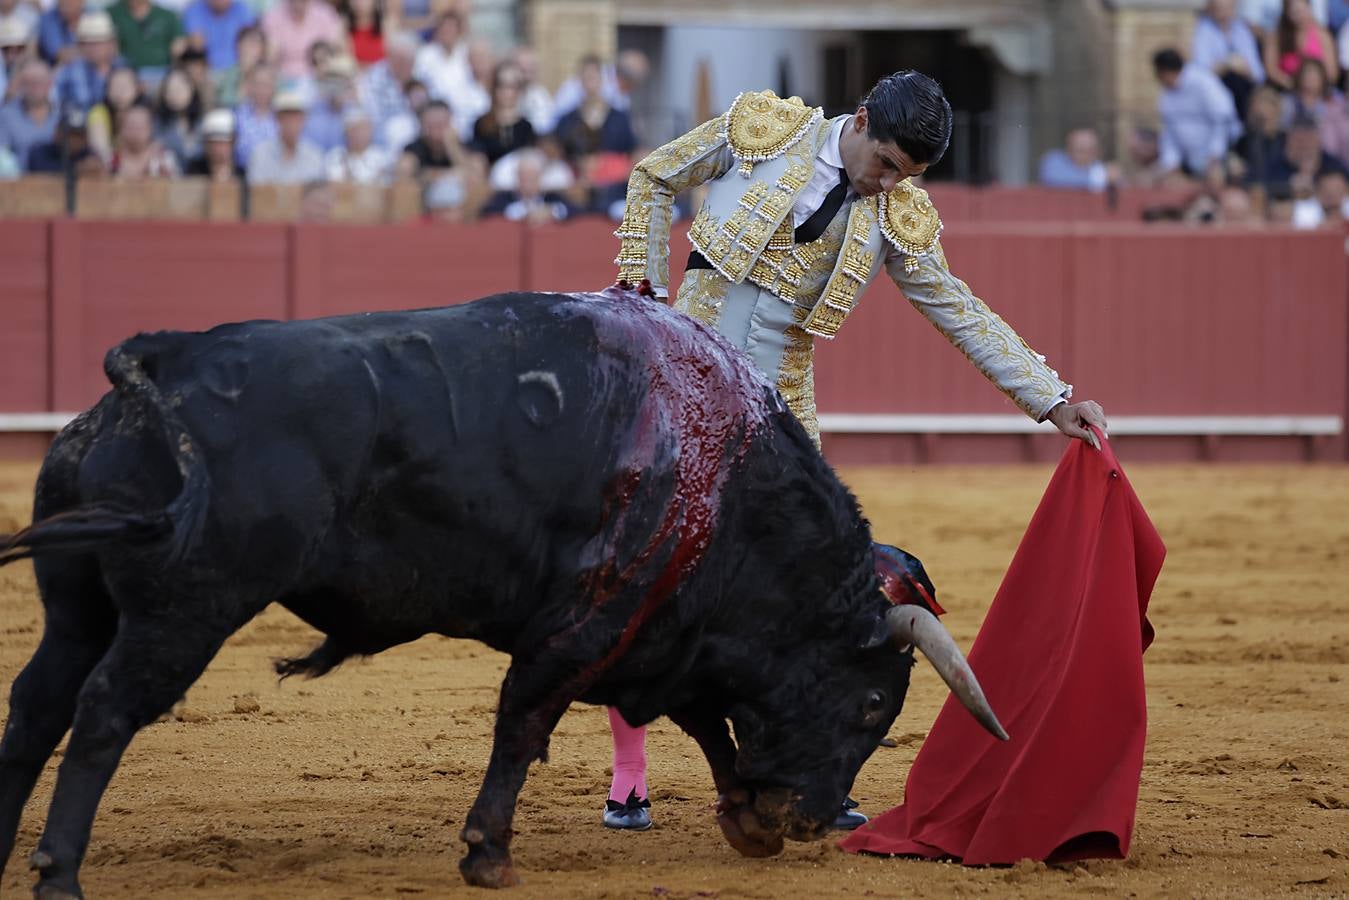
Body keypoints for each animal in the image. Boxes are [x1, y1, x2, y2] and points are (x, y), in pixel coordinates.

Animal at [0, 283, 1003, 895]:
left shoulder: (662, 630)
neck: (723, 472)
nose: (810, 821)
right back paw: (59, 871)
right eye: (872, 703)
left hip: (78, 603)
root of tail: (161, 366)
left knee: (39, 700)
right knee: (102, 712)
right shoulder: (592, 621)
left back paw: (6, 845)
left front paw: (741, 825)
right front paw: (488, 854)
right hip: (188, 608)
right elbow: (525, 721)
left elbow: (706, 725)